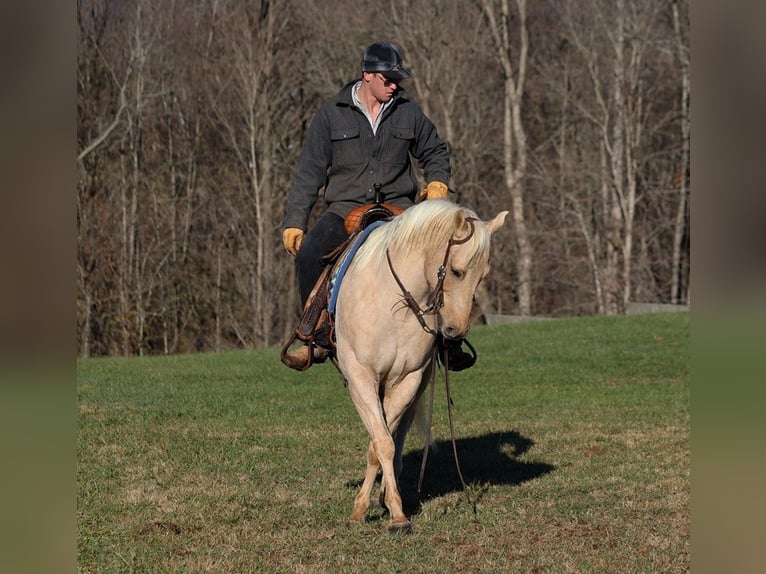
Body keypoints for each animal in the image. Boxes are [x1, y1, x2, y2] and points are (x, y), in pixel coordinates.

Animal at [336, 200, 510, 532]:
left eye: (482, 277)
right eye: (456, 271)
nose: (455, 330)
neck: (395, 305)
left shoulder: (408, 379)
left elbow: (383, 445)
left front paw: (393, 510)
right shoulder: (361, 377)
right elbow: (381, 442)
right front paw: (366, 512)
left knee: (398, 435)